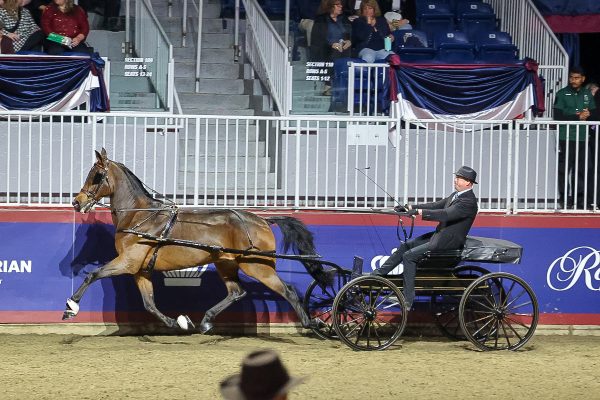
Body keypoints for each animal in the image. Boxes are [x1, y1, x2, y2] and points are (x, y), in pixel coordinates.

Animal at [64, 148, 328, 332]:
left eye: (97, 176)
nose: (77, 202)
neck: (140, 216)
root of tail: (262, 220)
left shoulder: (127, 262)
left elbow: (93, 274)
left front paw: (71, 307)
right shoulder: (140, 270)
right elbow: (149, 304)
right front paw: (179, 322)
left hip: (257, 267)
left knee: (288, 290)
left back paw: (312, 324)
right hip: (226, 264)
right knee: (236, 292)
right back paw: (206, 321)